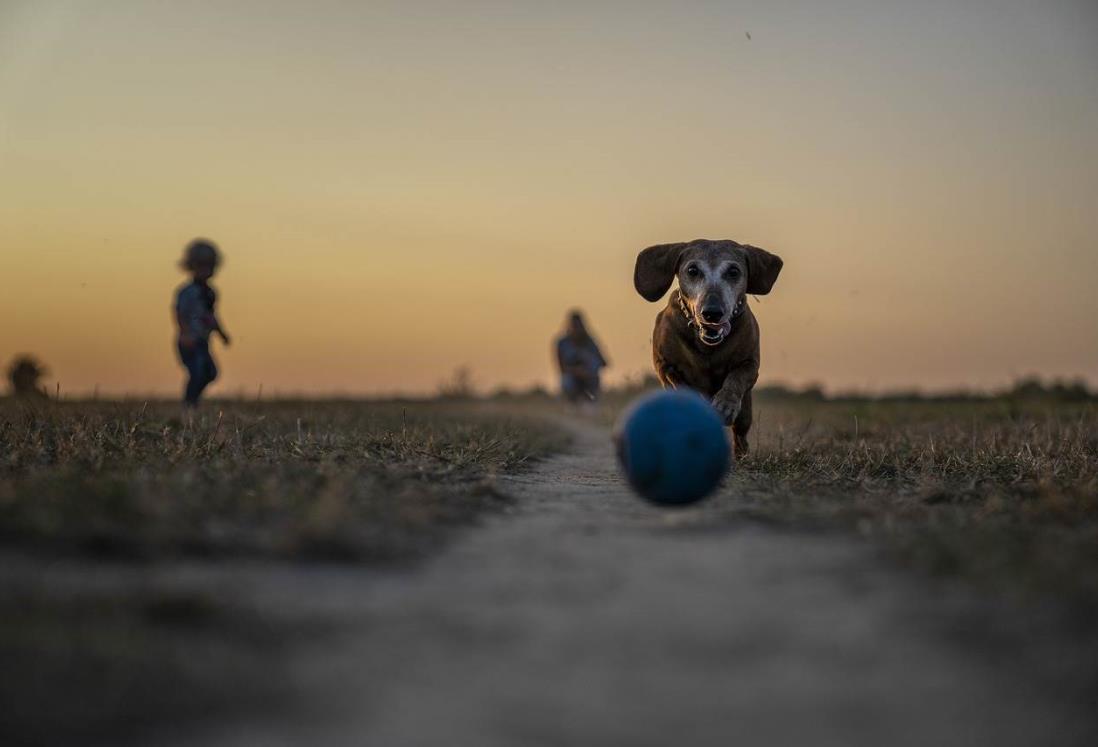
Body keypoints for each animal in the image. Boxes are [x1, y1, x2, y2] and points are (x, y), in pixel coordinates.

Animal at [636, 239, 781, 452]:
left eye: (733, 271)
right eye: (692, 270)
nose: (712, 312)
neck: (707, 346)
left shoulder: (750, 364)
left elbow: (736, 379)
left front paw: (725, 405)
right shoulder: (665, 365)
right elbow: (678, 382)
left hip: (745, 412)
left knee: (740, 434)